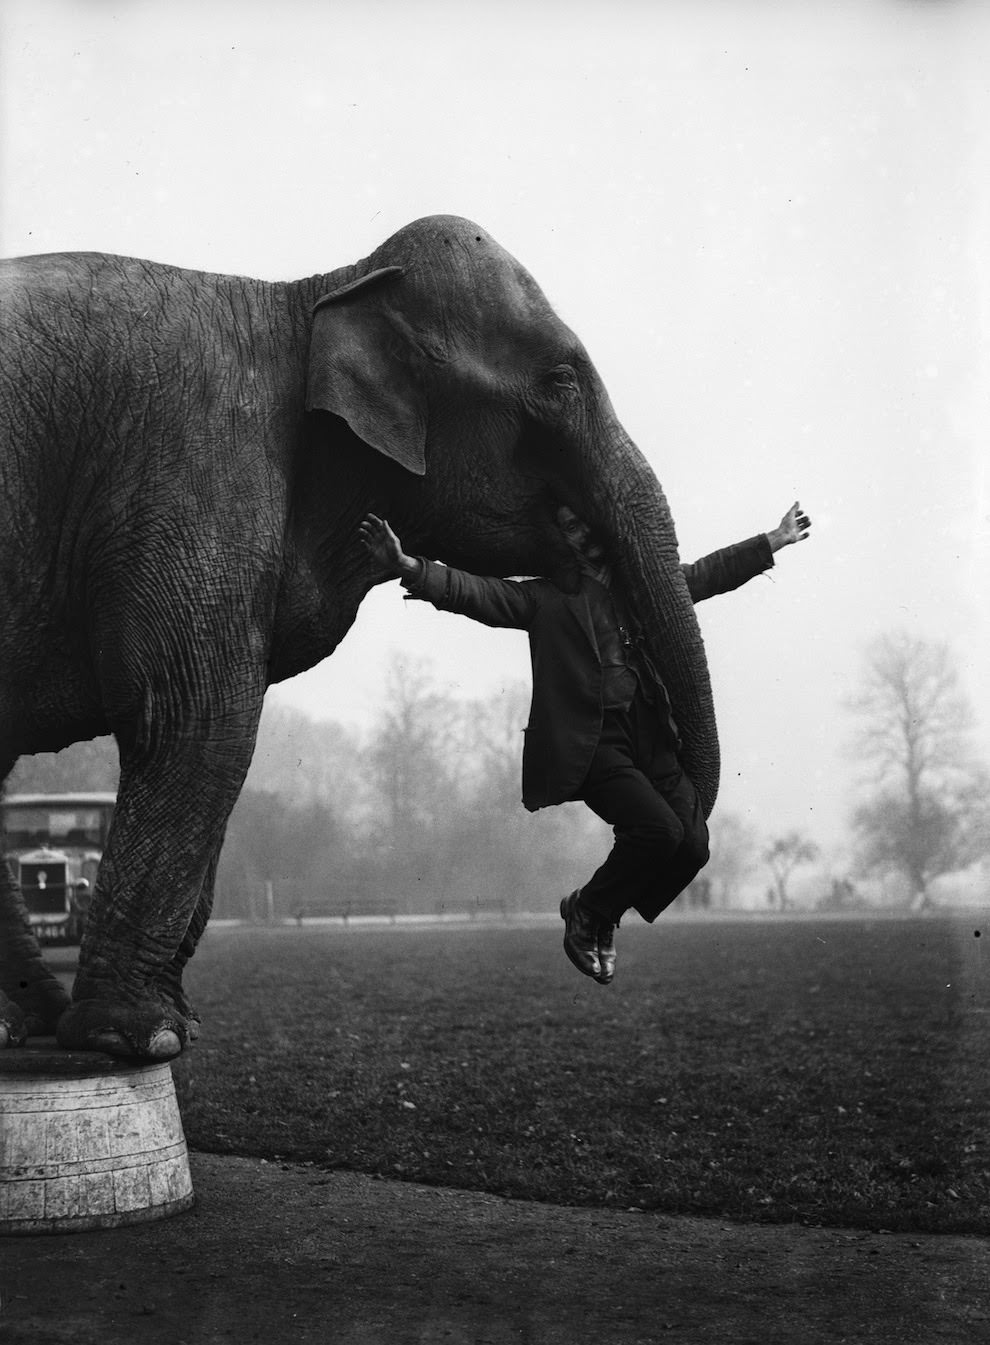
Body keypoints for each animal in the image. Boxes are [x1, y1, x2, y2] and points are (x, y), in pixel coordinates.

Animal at [0, 215, 715, 1059]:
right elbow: (194, 717)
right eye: (563, 379)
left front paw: (171, 1024)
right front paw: (141, 1040)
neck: (316, 294)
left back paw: (22, 1024)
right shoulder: (194, 470)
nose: (595, 944)